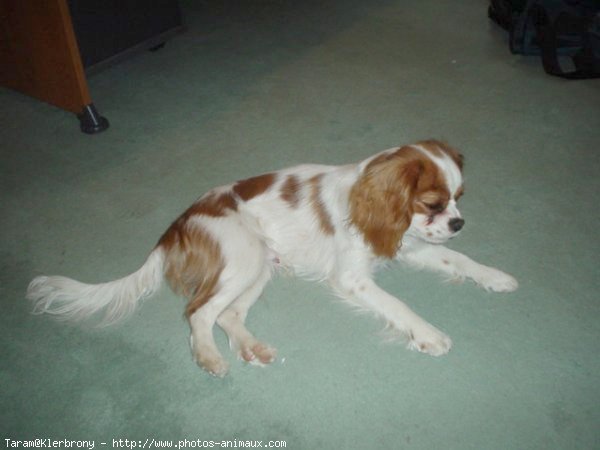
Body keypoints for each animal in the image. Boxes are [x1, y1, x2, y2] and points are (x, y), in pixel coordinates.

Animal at [27, 141, 516, 376]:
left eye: (459, 198)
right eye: (433, 203)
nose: (459, 222)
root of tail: (177, 224)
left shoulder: (410, 243)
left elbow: (459, 260)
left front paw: (495, 276)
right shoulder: (353, 279)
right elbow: (398, 304)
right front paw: (429, 334)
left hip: (259, 267)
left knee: (227, 315)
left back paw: (251, 347)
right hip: (242, 258)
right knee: (199, 313)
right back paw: (209, 356)